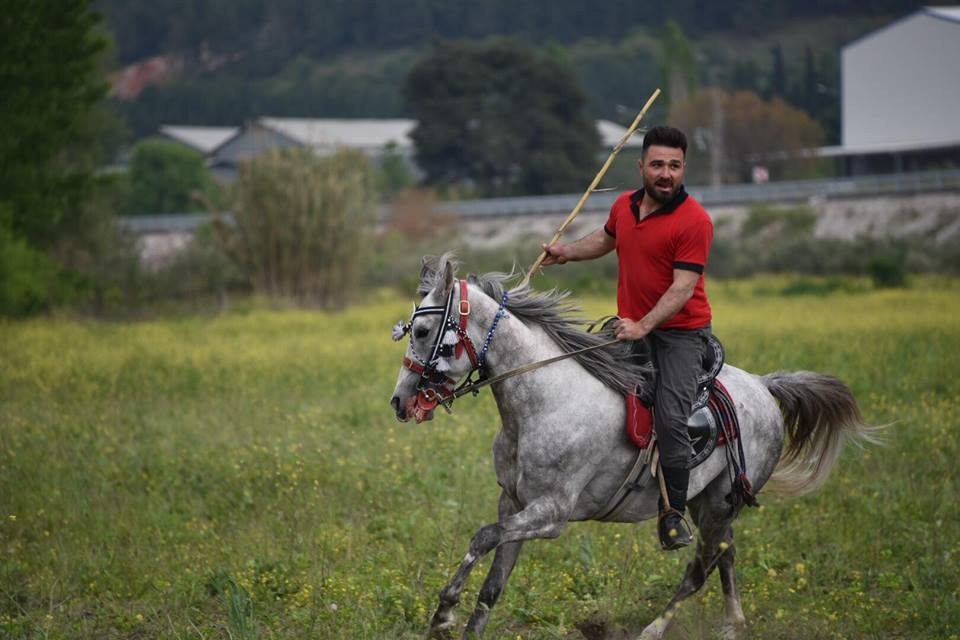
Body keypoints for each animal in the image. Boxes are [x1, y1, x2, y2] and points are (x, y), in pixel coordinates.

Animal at [390, 252, 876, 636]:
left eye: (423, 331)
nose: (400, 401)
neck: (545, 400)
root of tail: (763, 384)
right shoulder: (513, 503)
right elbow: (493, 581)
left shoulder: (551, 514)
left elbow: (482, 536)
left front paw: (444, 614)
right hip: (703, 500)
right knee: (726, 555)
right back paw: (732, 625)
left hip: (721, 502)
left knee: (701, 565)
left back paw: (655, 629)